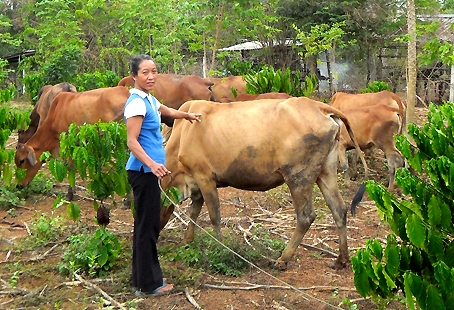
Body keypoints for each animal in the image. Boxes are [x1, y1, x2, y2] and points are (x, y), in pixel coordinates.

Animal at [161, 98, 368, 270]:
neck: (182, 134)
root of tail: (319, 107)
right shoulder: (196, 184)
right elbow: (194, 212)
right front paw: (187, 240)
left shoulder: (204, 177)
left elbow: (214, 216)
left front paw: (222, 248)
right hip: (326, 171)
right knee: (339, 209)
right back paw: (341, 260)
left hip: (298, 176)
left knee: (306, 216)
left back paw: (283, 259)